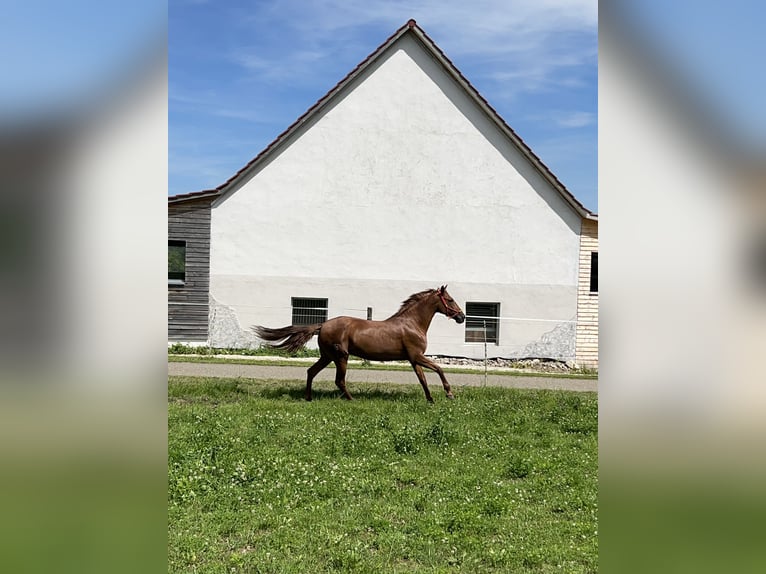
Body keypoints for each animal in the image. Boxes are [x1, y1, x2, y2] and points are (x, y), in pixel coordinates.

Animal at [255, 286, 464, 402]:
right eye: (451, 299)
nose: (461, 317)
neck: (412, 324)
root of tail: (323, 324)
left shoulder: (413, 359)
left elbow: (423, 379)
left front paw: (430, 399)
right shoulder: (417, 356)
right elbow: (439, 369)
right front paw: (449, 394)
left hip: (327, 356)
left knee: (311, 372)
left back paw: (309, 398)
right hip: (341, 356)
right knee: (339, 381)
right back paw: (351, 399)